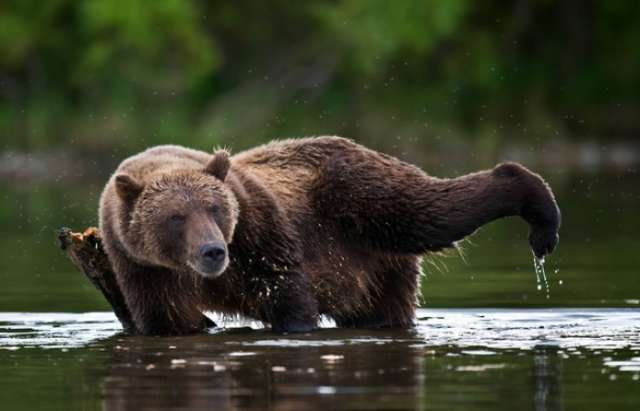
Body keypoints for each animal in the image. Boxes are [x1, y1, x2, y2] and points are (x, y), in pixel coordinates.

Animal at [100, 137, 560, 336]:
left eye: (215, 208)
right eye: (176, 217)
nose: (213, 251)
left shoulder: (258, 230)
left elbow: (286, 289)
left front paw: (297, 324)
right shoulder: (142, 268)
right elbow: (169, 319)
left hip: (363, 199)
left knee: (433, 211)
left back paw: (537, 211)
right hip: (376, 265)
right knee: (384, 303)